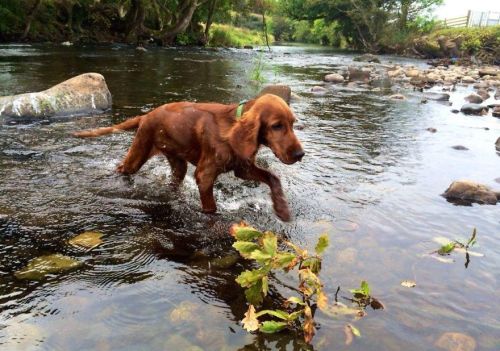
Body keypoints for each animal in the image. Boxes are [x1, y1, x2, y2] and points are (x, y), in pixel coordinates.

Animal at [72, 93, 302, 220]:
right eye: (276, 126)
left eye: (293, 124)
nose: (300, 154)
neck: (232, 126)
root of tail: (146, 116)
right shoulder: (205, 175)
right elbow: (211, 208)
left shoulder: (243, 169)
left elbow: (273, 177)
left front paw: (282, 209)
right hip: (138, 154)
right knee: (122, 168)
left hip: (178, 164)